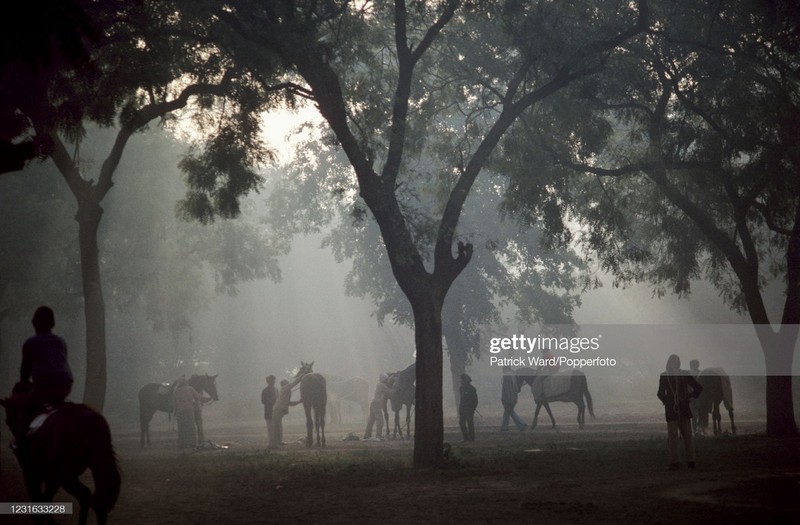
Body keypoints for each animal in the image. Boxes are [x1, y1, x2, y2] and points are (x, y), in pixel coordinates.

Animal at [0, 380, 122, 524]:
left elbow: (38, 499)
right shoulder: (50, 478)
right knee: (99, 501)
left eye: (9, 414)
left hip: (65, 475)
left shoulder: (31, 473)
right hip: (92, 468)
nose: (11, 426)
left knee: (85, 495)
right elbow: (45, 499)